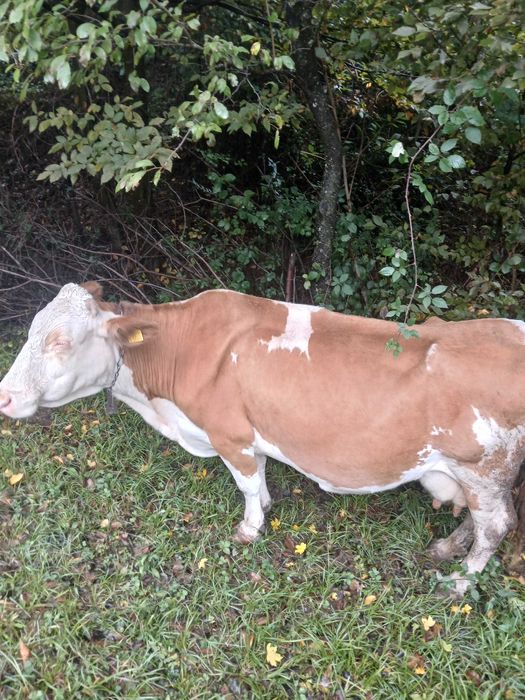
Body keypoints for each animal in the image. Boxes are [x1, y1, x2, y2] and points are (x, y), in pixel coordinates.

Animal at [0, 281, 524, 596]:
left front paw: (251, 527)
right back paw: (446, 548)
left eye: (61, 341)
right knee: (481, 519)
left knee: (496, 524)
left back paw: (459, 581)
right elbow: (262, 470)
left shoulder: (228, 432)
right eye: (30, 331)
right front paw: (268, 505)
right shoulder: (251, 433)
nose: (5, 396)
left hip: (484, 467)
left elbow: (247, 483)